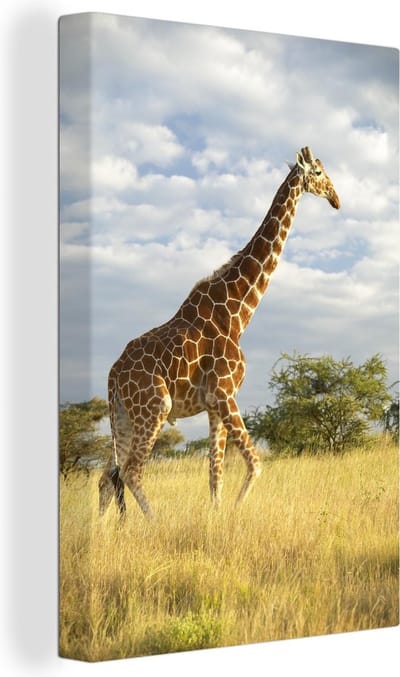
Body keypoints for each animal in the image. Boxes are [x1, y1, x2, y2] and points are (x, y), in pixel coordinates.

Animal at [99, 146, 340, 517]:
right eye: (317, 172)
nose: (336, 199)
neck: (239, 312)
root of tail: (112, 375)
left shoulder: (213, 404)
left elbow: (215, 472)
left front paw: (215, 516)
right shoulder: (225, 394)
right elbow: (255, 463)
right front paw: (234, 513)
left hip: (123, 416)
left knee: (107, 476)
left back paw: (103, 529)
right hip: (155, 406)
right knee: (130, 471)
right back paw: (154, 523)